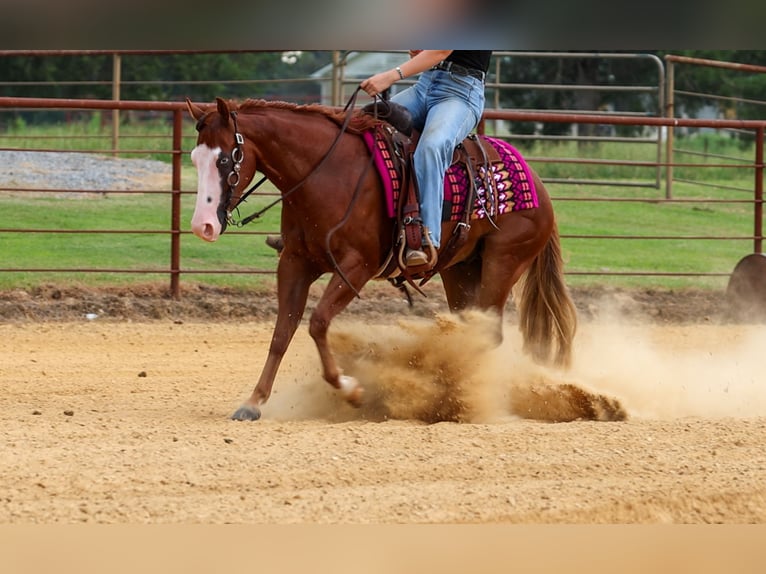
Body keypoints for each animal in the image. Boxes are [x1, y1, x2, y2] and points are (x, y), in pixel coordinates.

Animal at [186, 96, 578, 421]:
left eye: (225, 158)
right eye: (194, 158)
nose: (202, 225)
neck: (326, 173)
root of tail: (538, 184)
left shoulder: (355, 267)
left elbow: (318, 322)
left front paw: (351, 389)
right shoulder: (296, 263)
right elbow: (283, 331)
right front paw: (253, 402)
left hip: (504, 261)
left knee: (489, 333)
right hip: (461, 269)